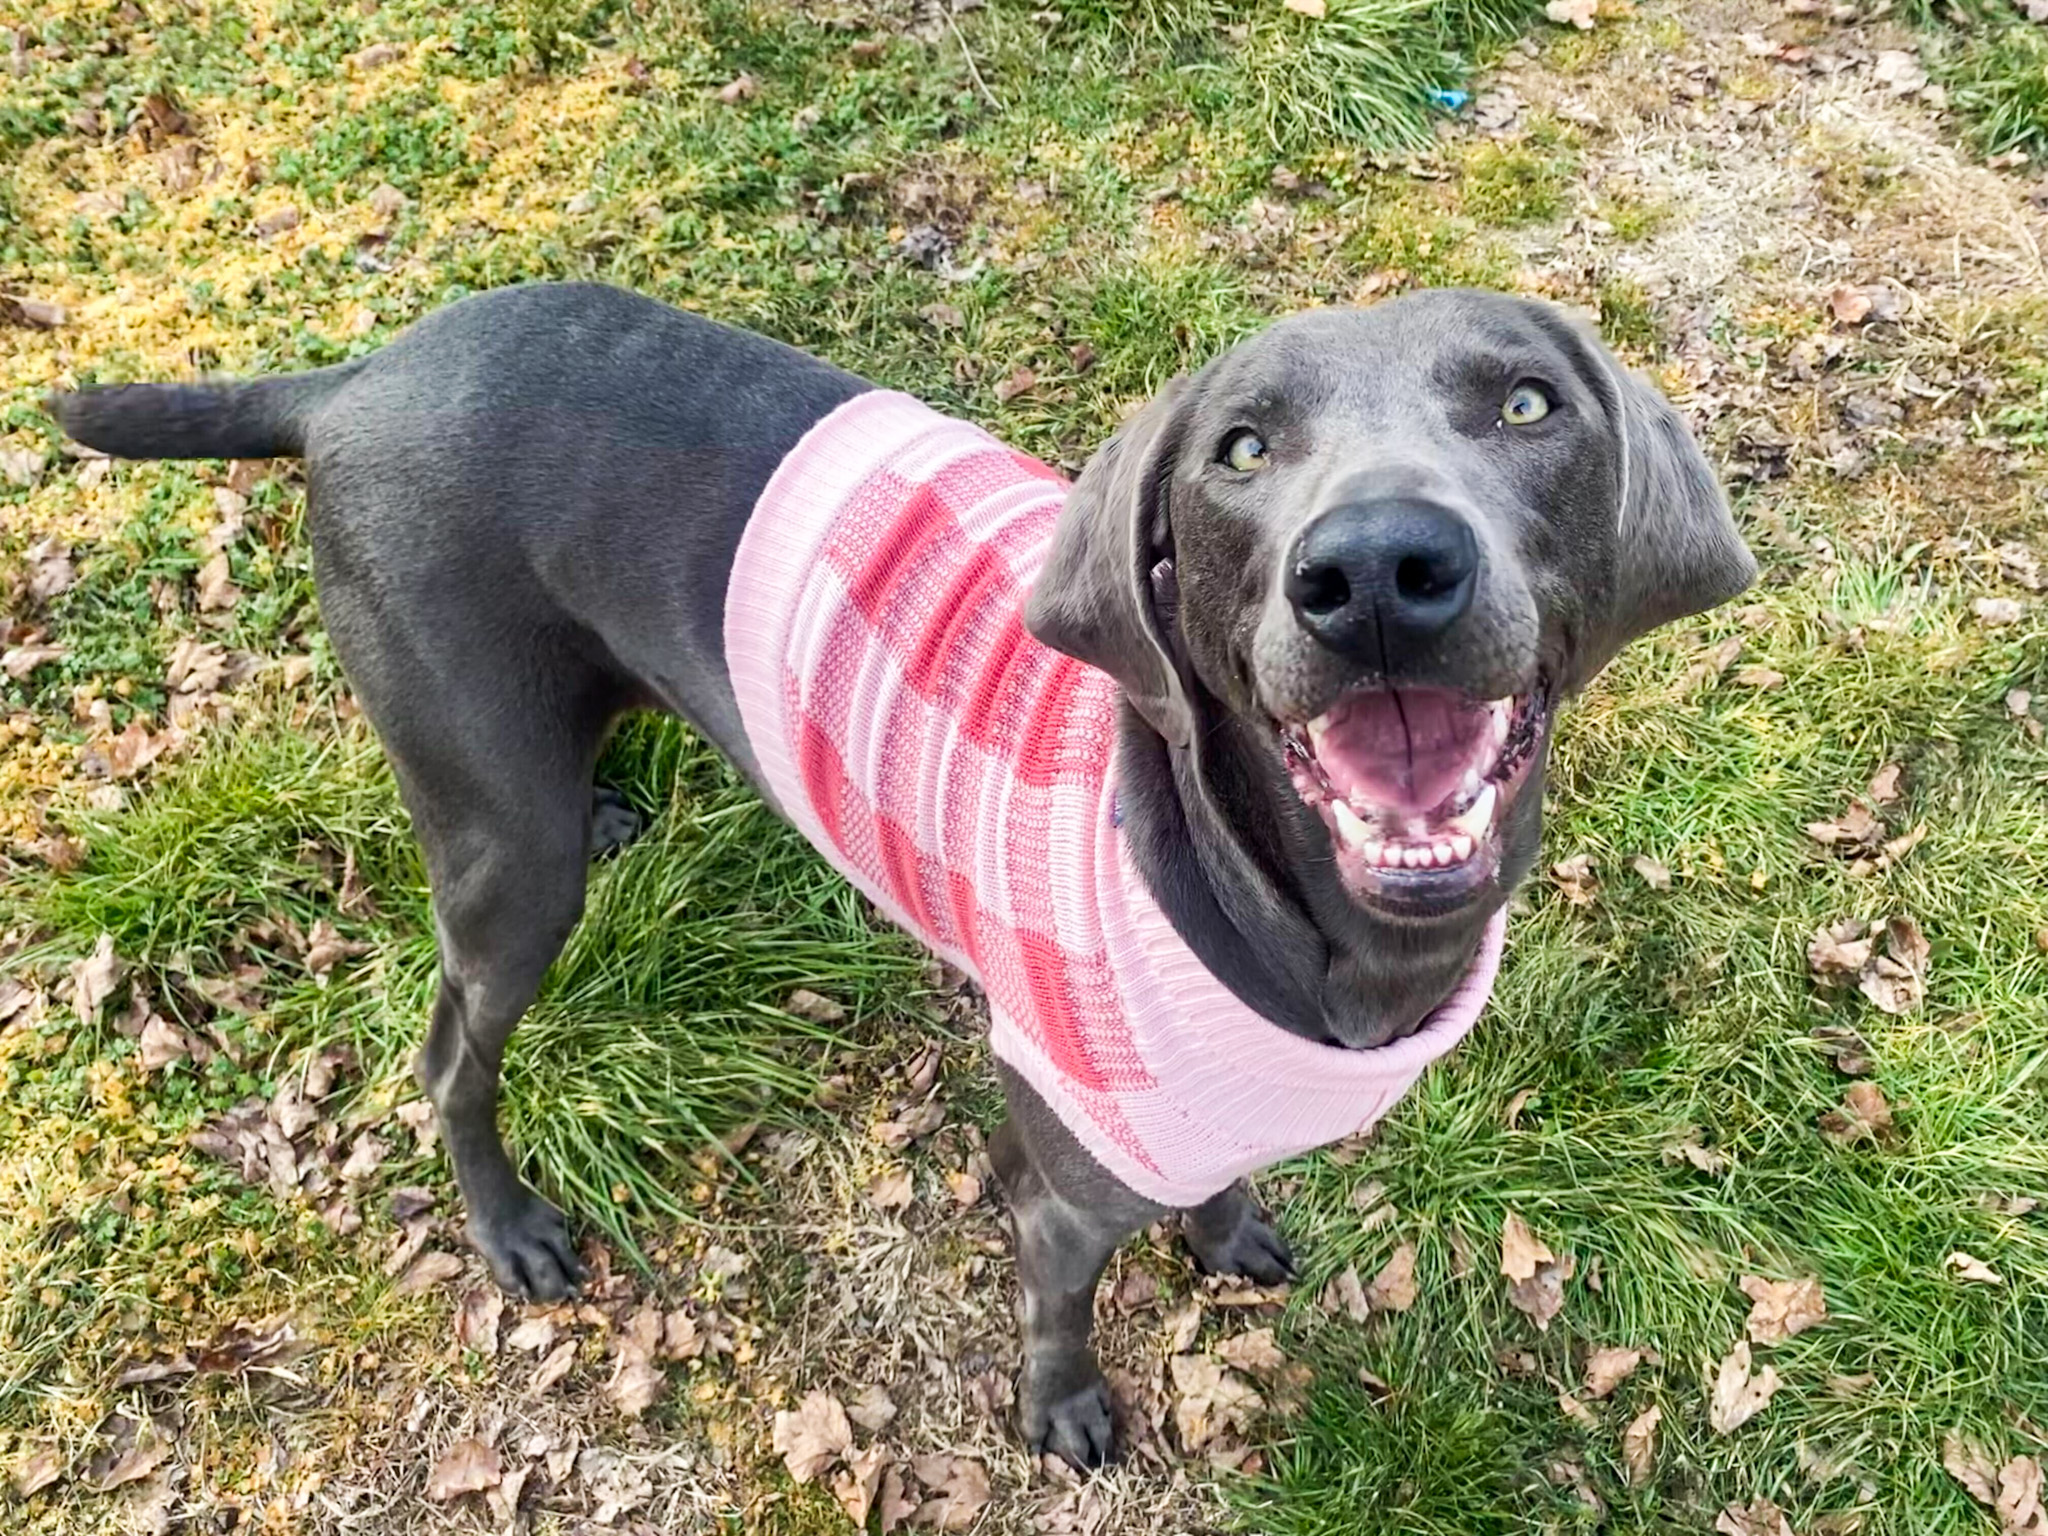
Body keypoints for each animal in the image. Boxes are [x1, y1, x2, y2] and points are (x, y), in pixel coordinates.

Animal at [48, 282, 1753, 1474]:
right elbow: (1060, 1302)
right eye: (1243, 450)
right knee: (449, 1049)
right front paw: (1065, 1412)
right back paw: (511, 1227)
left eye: (1526, 403)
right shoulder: (1065, 1178)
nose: (1380, 575)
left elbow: (1219, 1185)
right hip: (493, 844)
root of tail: (352, 377)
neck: (1323, 939)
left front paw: (1228, 1239)